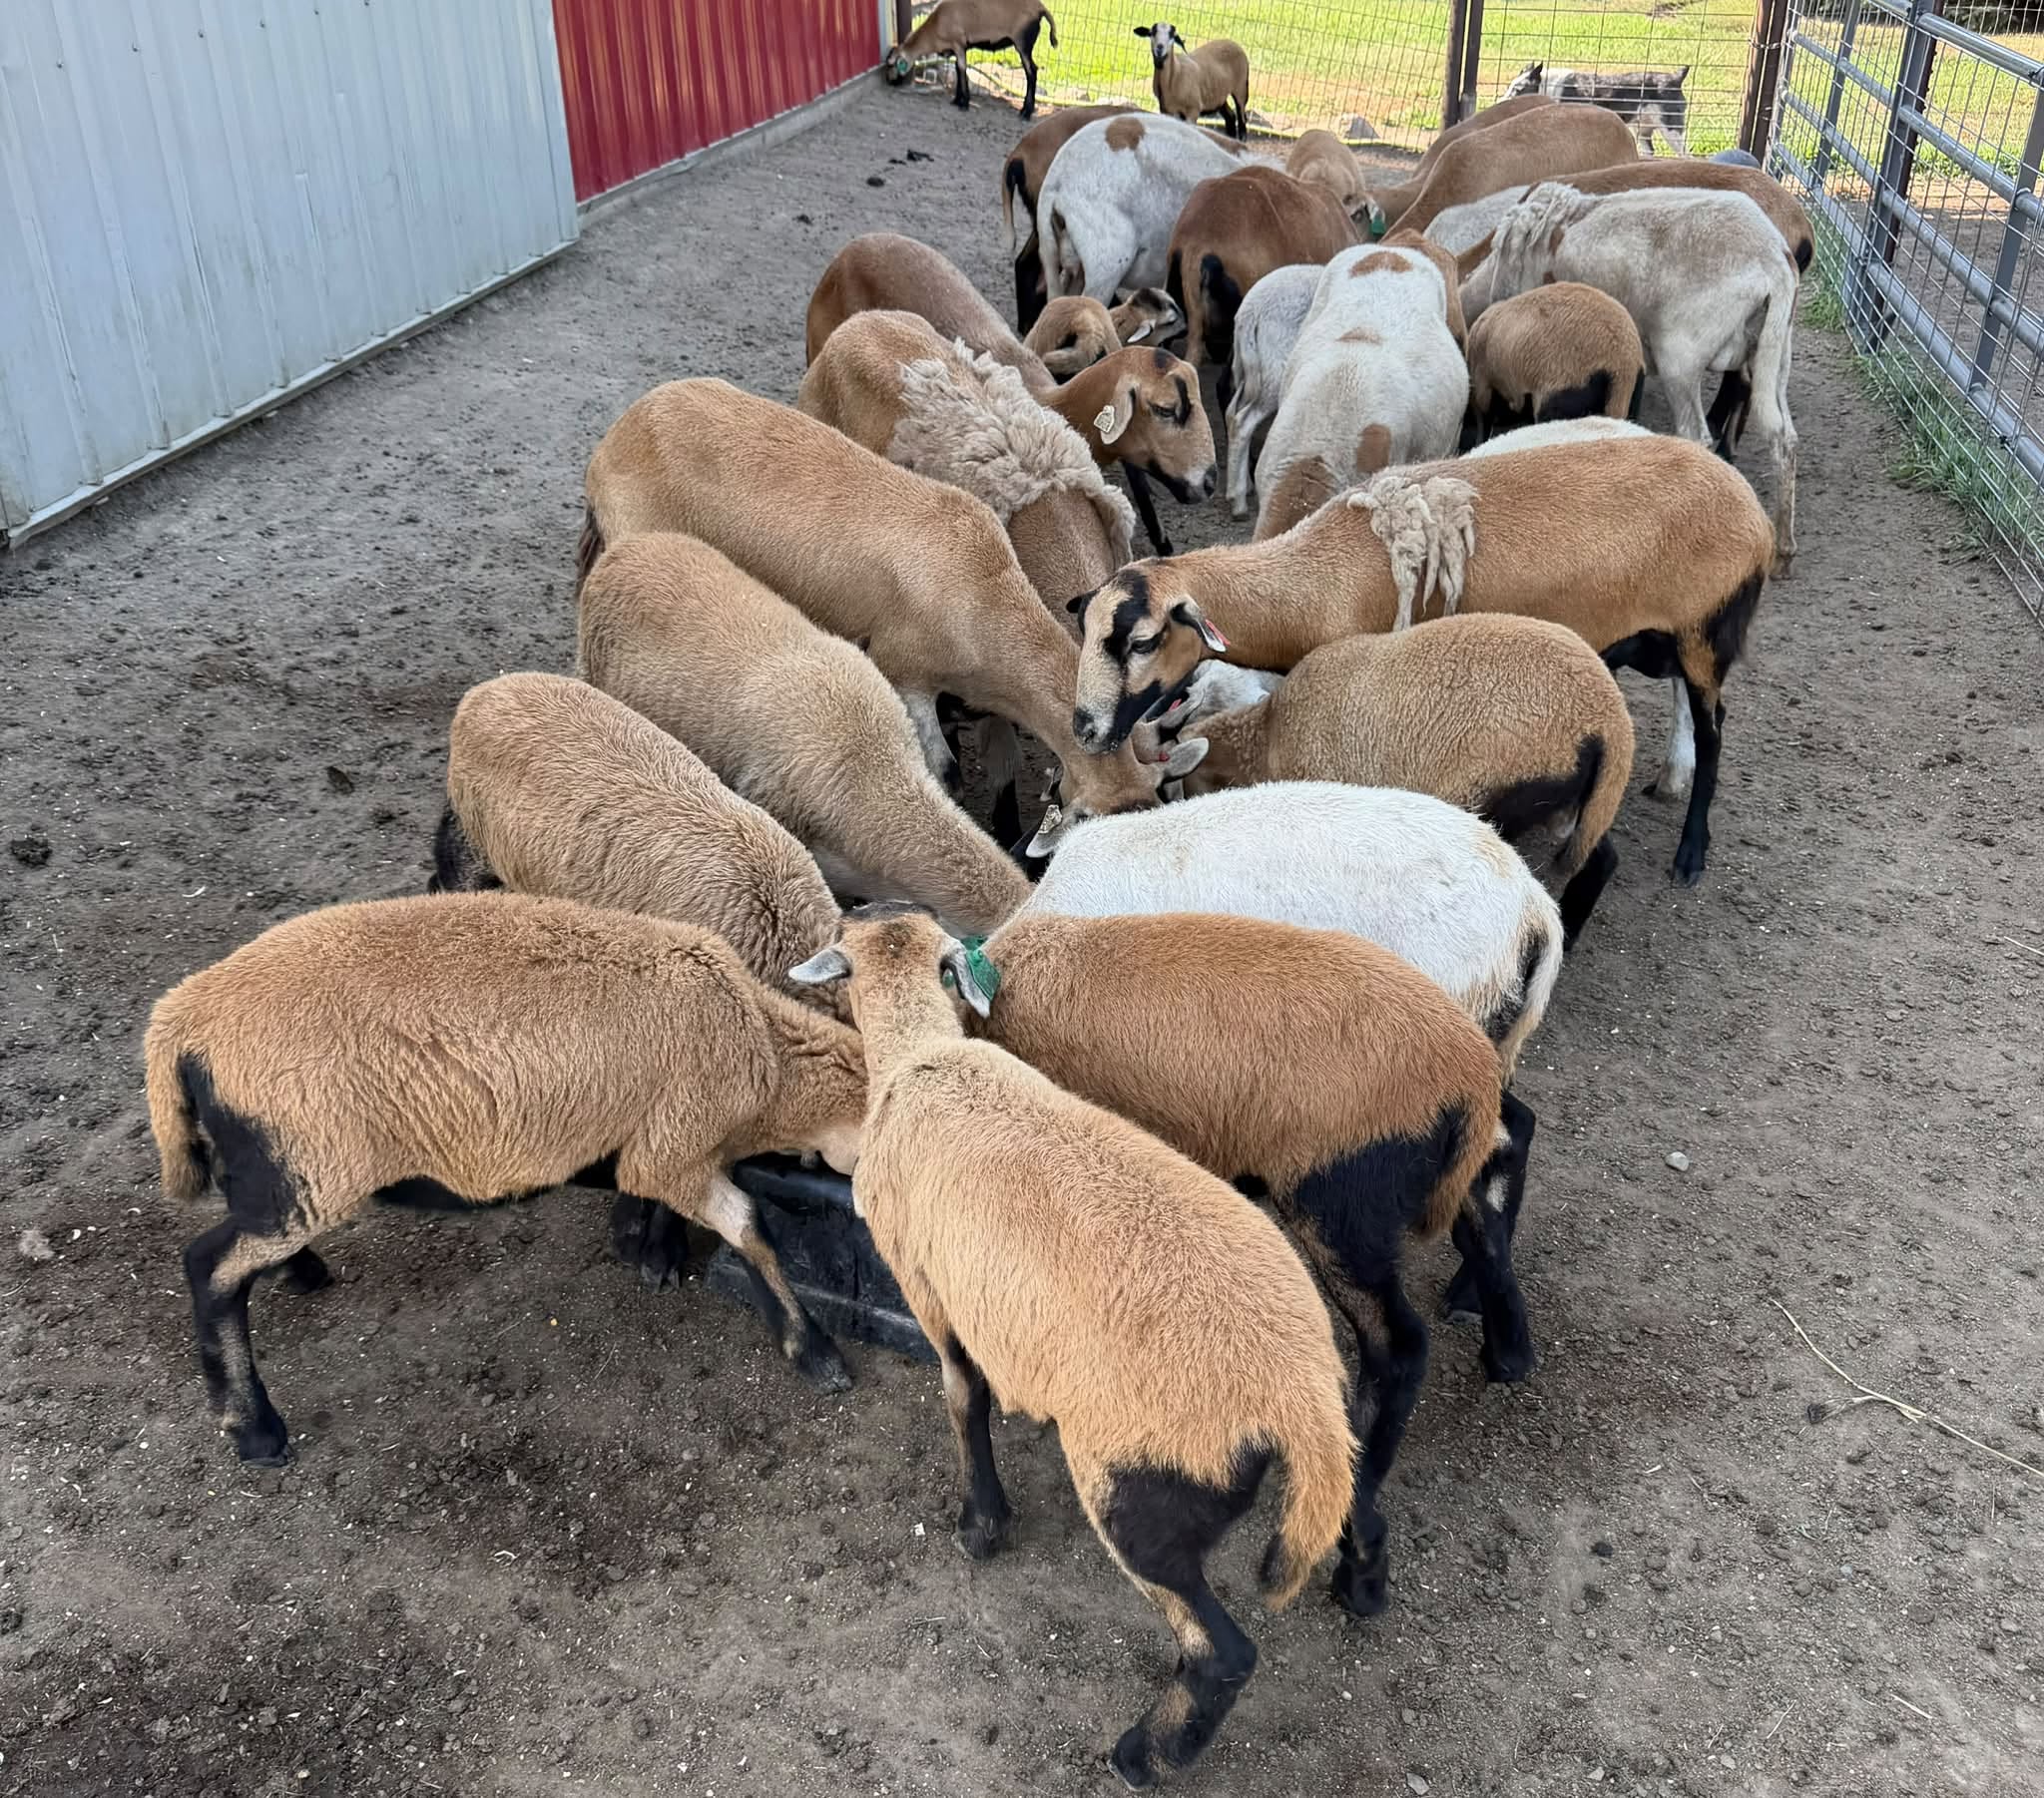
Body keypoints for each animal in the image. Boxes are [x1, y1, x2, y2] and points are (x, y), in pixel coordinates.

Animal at [145, 894, 871, 1462]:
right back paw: (255, 1431)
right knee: (210, 1269)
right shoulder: (675, 1140)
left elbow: (656, 1194)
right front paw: (816, 1354)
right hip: (311, 1158)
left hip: (284, 1171)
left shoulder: (657, 1140)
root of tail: (180, 1018)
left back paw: (300, 1273)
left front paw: (646, 1249)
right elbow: (749, 1225)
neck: (770, 1058)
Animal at [786, 904, 1355, 1784]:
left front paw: (981, 1526)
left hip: (1138, 1487)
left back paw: (1145, 1756)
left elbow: (963, 1398)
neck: (920, 1054)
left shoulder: (926, 1284)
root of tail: (1298, 1399)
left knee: (1220, 1652)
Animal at [886, 0, 1058, 121]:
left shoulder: (958, 44)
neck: (933, 31)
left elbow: (962, 69)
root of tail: (1040, 8)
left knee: (1032, 72)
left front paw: (964, 104)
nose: (889, 81)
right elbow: (957, 69)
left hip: (1023, 43)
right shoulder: (957, 48)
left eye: (891, 64)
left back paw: (1026, 113)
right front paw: (956, 100)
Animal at [1065, 431, 1775, 883]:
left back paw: (1691, 853)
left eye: (1141, 641)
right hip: (1664, 639)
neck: (1311, 581)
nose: (1085, 729)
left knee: (1715, 728)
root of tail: (1755, 512)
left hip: (1706, 629)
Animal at [1489, 182, 1799, 568]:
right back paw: (1784, 549)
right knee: (1784, 437)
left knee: (1697, 435)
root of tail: (1773, 261)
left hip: (1680, 355)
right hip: (1775, 349)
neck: (1558, 229)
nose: (1495, 297)